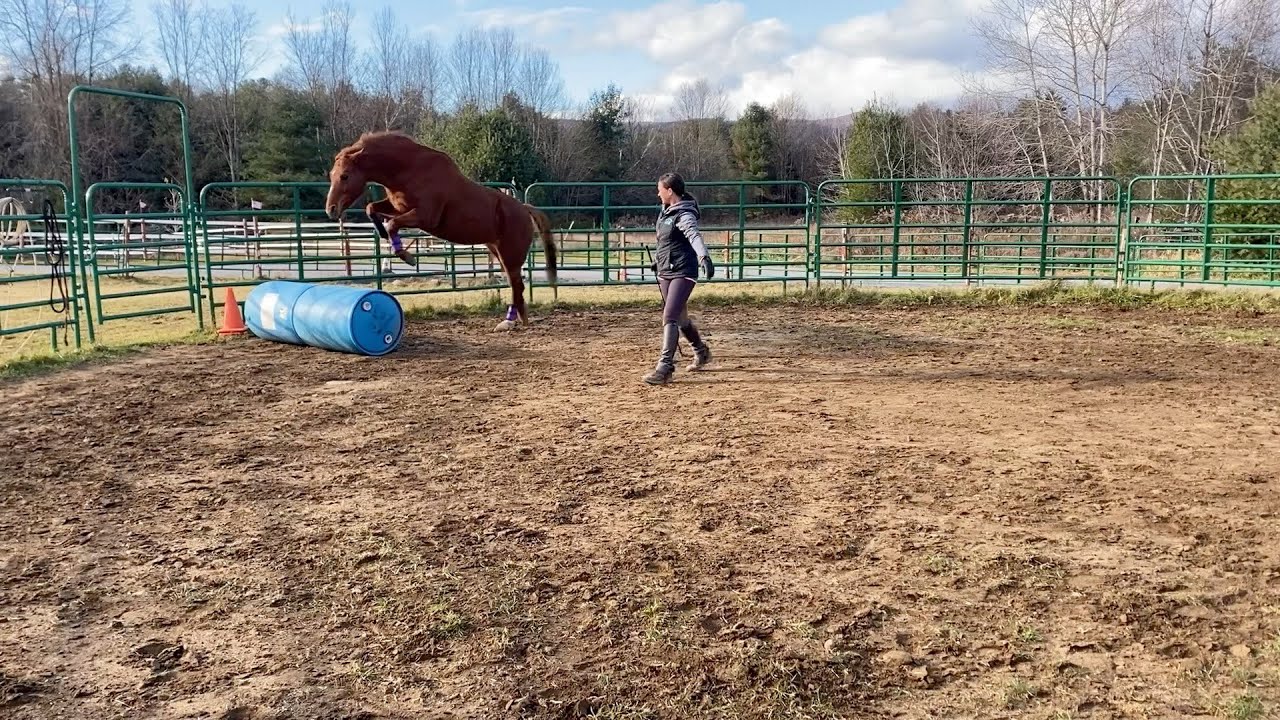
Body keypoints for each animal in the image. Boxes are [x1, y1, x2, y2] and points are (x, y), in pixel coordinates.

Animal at [323, 130, 557, 332]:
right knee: (516, 286)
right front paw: (382, 235)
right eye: (332, 174)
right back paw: (516, 319)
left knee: (517, 286)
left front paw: (407, 257)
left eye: (344, 176)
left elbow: (392, 224)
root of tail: (524, 208)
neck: (409, 169)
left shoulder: (425, 216)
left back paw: (510, 322)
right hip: (498, 252)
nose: (331, 209)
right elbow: (372, 209)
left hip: (510, 256)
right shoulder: (398, 207)